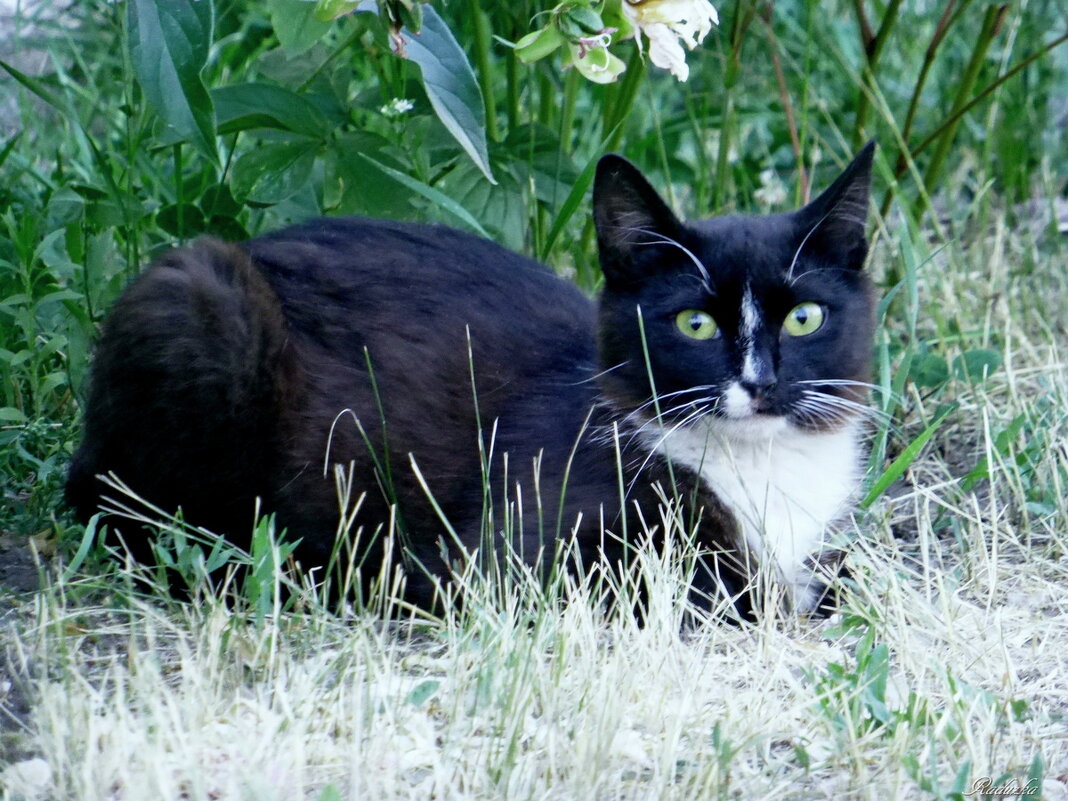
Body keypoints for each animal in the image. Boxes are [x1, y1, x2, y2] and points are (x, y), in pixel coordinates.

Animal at [64, 146, 875, 619]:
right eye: (695, 324)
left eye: (804, 317)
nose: (760, 384)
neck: (760, 467)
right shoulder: (524, 546)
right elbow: (710, 591)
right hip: (199, 298)